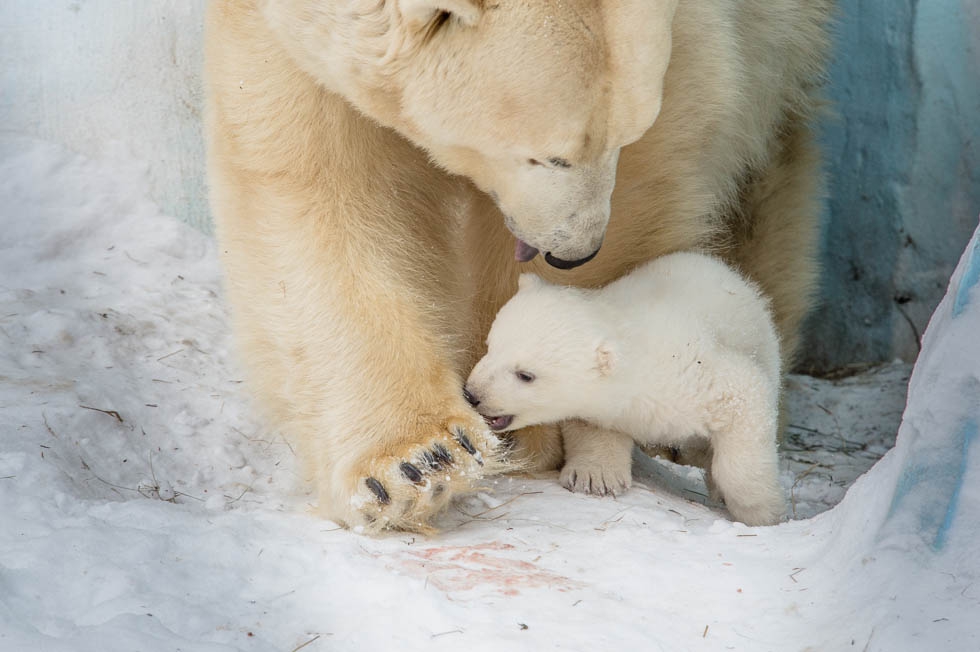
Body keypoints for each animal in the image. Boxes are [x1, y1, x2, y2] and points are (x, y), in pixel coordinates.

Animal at [207, 0, 836, 532]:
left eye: (623, 136)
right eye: (550, 156)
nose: (575, 250)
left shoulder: (698, 47)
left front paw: (538, 430)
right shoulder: (282, 30)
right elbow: (314, 177)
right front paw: (416, 465)